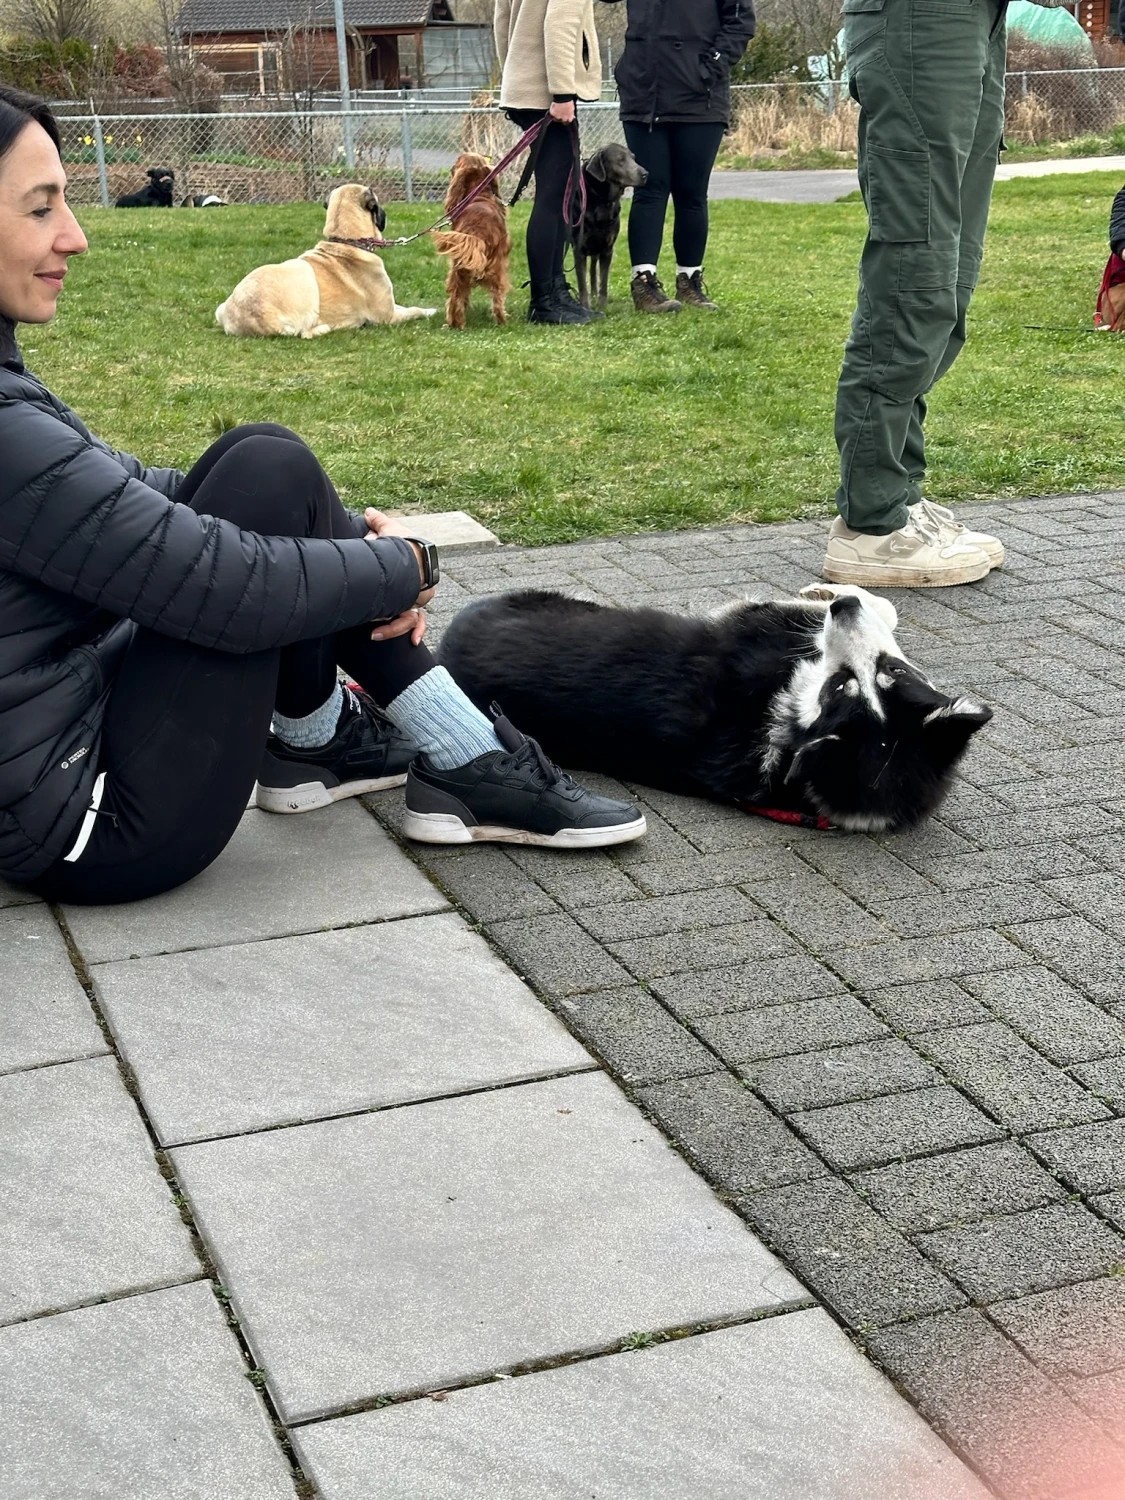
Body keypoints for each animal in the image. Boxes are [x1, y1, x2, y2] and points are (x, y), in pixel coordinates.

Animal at [216, 182, 435, 337]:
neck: (347, 242)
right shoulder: (388, 316)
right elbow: (414, 310)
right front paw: (430, 310)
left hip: (221, 308)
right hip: (302, 271)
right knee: (305, 332)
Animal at [435, 152, 513, 328]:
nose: (451, 168)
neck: (480, 196)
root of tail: (477, 234)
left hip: (457, 270)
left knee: (455, 297)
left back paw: (454, 324)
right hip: (497, 269)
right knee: (497, 298)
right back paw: (501, 321)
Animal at [441, 582, 996, 834]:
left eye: (837, 689)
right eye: (895, 672)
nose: (843, 609)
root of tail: (446, 647)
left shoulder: (755, 619)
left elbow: (872, 609)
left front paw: (837, 596)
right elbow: (878, 609)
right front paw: (837, 595)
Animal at [576, 143, 648, 313]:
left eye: (633, 158)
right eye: (620, 160)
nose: (645, 174)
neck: (602, 200)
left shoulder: (607, 249)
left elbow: (603, 280)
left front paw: (602, 306)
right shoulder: (579, 250)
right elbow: (582, 284)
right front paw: (585, 307)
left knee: (593, 270)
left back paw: (594, 294)